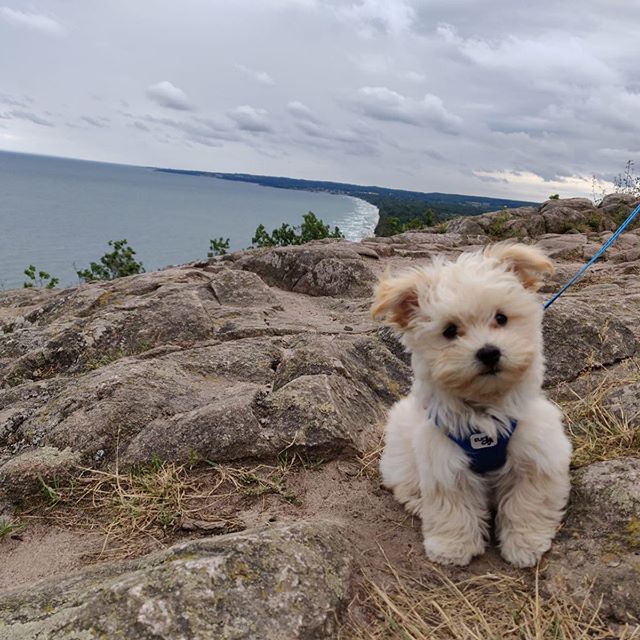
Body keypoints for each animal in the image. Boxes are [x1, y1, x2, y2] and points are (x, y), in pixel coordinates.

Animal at [372, 242, 572, 568]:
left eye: (501, 318)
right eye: (450, 331)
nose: (489, 352)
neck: (485, 411)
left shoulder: (537, 453)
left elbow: (529, 501)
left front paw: (525, 542)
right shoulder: (444, 462)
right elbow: (452, 507)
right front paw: (452, 546)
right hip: (402, 451)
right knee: (404, 482)